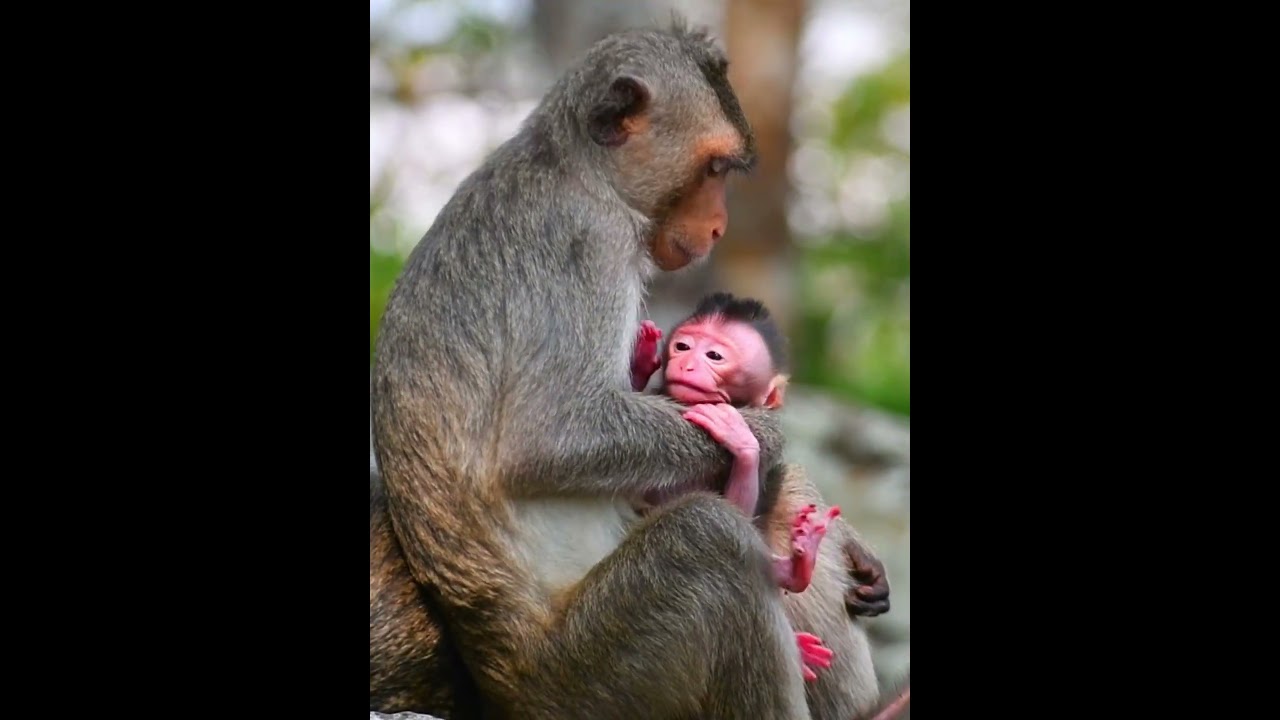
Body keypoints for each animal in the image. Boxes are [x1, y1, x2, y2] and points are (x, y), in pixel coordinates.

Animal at [371, 20, 890, 720]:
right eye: (716, 169)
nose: (720, 226)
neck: (575, 170)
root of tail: (507, 685)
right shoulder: (586, 240)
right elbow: (550, 437)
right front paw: (762, 432)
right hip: (597, 679)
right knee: (708, 537)